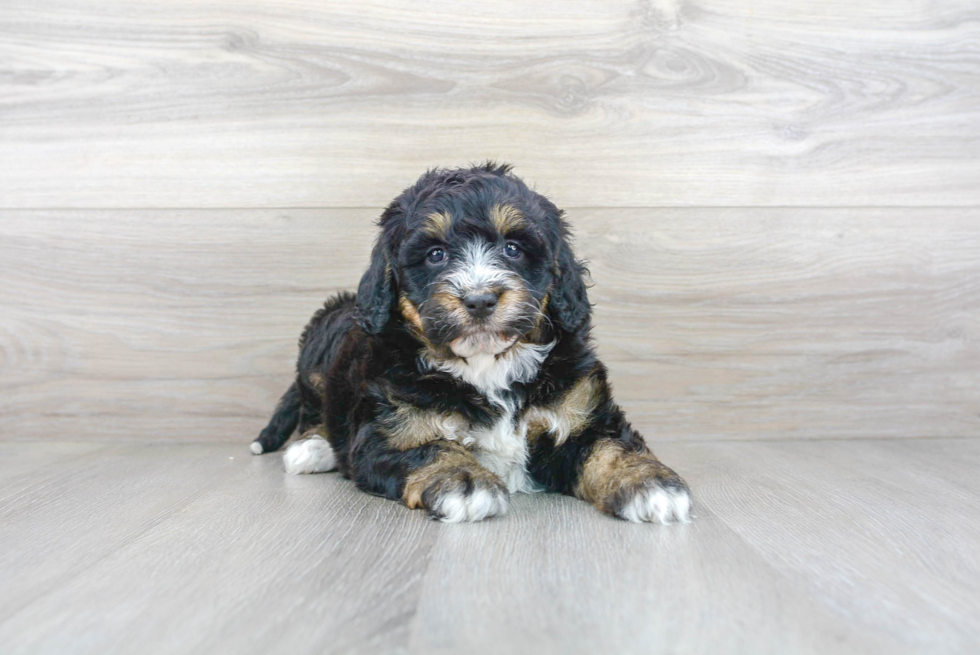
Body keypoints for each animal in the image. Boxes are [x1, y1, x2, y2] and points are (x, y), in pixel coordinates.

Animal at [253, 165, 696, 528]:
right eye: (436, 254)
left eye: (513, 249)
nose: (480, 299)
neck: (486, 363)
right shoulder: (388, 432)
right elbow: (431, 448)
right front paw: (464, 481)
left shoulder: (582, 412)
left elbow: (610, 446)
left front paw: (647, 480)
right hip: (320, 343)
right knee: (315, 406)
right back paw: (312, 448)